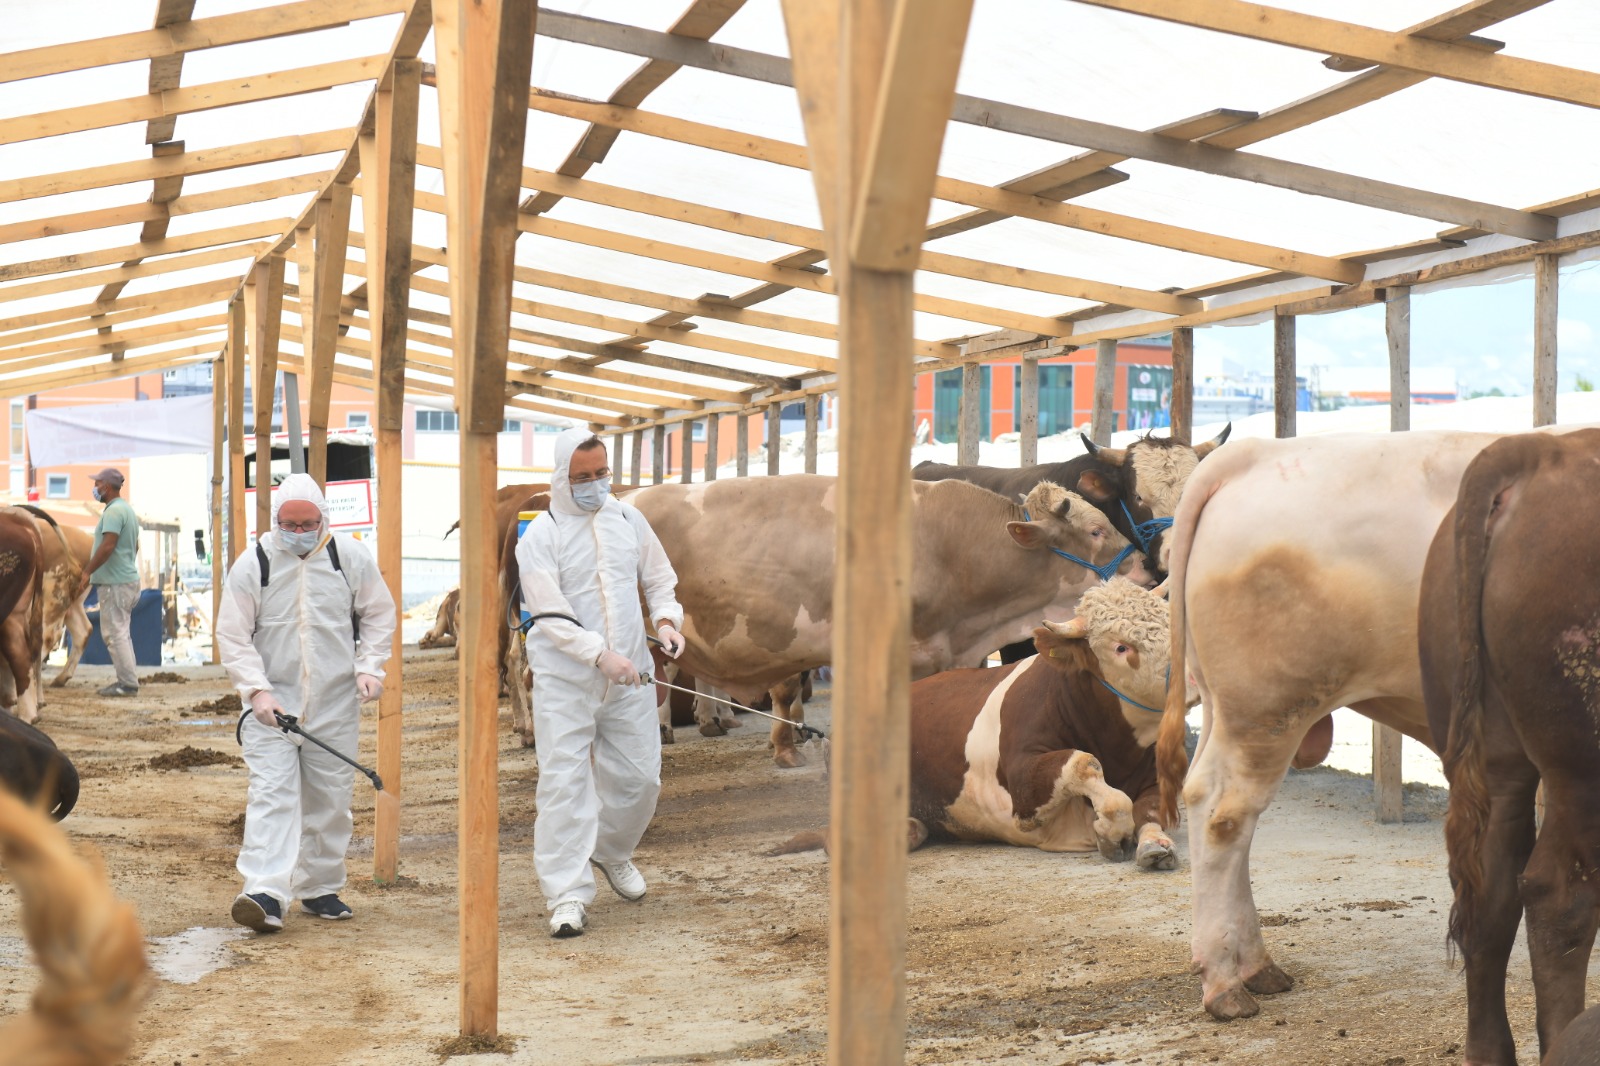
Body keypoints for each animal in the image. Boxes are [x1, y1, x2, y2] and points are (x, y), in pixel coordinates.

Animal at [908, 576, 1184, 870]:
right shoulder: (1022, 789)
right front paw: (1113, 833)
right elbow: (1088, 768)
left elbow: (1150, 811)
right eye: (1121, 647)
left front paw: (1155, 844)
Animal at [1152, 425, 1587, 1024]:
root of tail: (1255, 452)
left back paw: (1254, 964)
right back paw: (1225, 983)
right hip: (1268, 710)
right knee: (1225, 815)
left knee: (1205, 802)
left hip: (1225, 705)